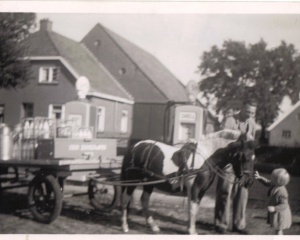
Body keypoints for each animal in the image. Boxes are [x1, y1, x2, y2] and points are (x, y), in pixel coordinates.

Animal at [119, 131, 255, 234]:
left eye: (254, 157)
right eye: (246, 158)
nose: (249, 181)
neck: (206, 159)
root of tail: (134, 147)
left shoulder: (201, 191)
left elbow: (194, 209)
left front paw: (190, 228)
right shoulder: (195, 189)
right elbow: (192, 209)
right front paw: (192, 231)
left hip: (150, 182)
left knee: (144, 200)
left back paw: (153, 226)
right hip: (132, 180)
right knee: (125, 199)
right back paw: (124, 226)